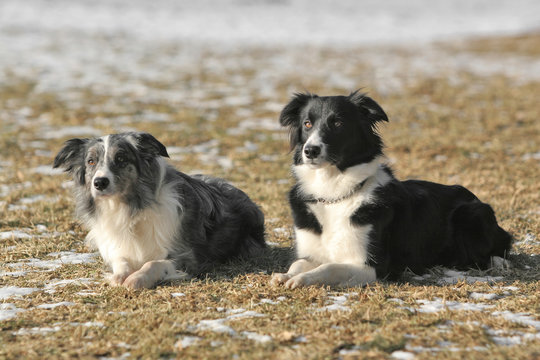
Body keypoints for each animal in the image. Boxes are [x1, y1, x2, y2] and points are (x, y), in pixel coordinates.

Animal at [53, 132, 264, 290]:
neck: (131, 207)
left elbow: (154, 263)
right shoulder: (118, 248)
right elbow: (121, 261)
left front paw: (136, 279)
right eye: (91, 161)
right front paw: (119, 276)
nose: (100, 183)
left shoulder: (188, 256)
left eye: (121, 158)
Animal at [272, 91, 512, 288]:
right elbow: (299, 263)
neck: (333, 191)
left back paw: (498, 262)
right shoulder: (312, 252)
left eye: (338, 123)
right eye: (307, 124)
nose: (310, 150)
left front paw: (302, 280)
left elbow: (329, 267)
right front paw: (286, 275)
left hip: (473, 213)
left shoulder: (372, 266)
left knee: (500, 246)